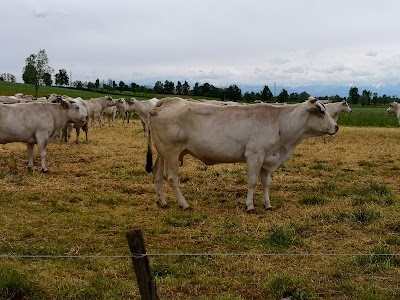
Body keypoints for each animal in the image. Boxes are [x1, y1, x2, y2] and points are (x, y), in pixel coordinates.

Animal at [145, 96, 340, 211]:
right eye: (321, 111)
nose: (337, 126)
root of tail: (168, 101)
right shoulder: (254, 155)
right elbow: (252, 181)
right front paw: (250, 205)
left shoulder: (268, 158)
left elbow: (266, 183)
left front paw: (267, 204)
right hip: (171, 152)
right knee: (171, 177)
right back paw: (184, 204)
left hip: (163, 152)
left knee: (157, 173)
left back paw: (162, 201)